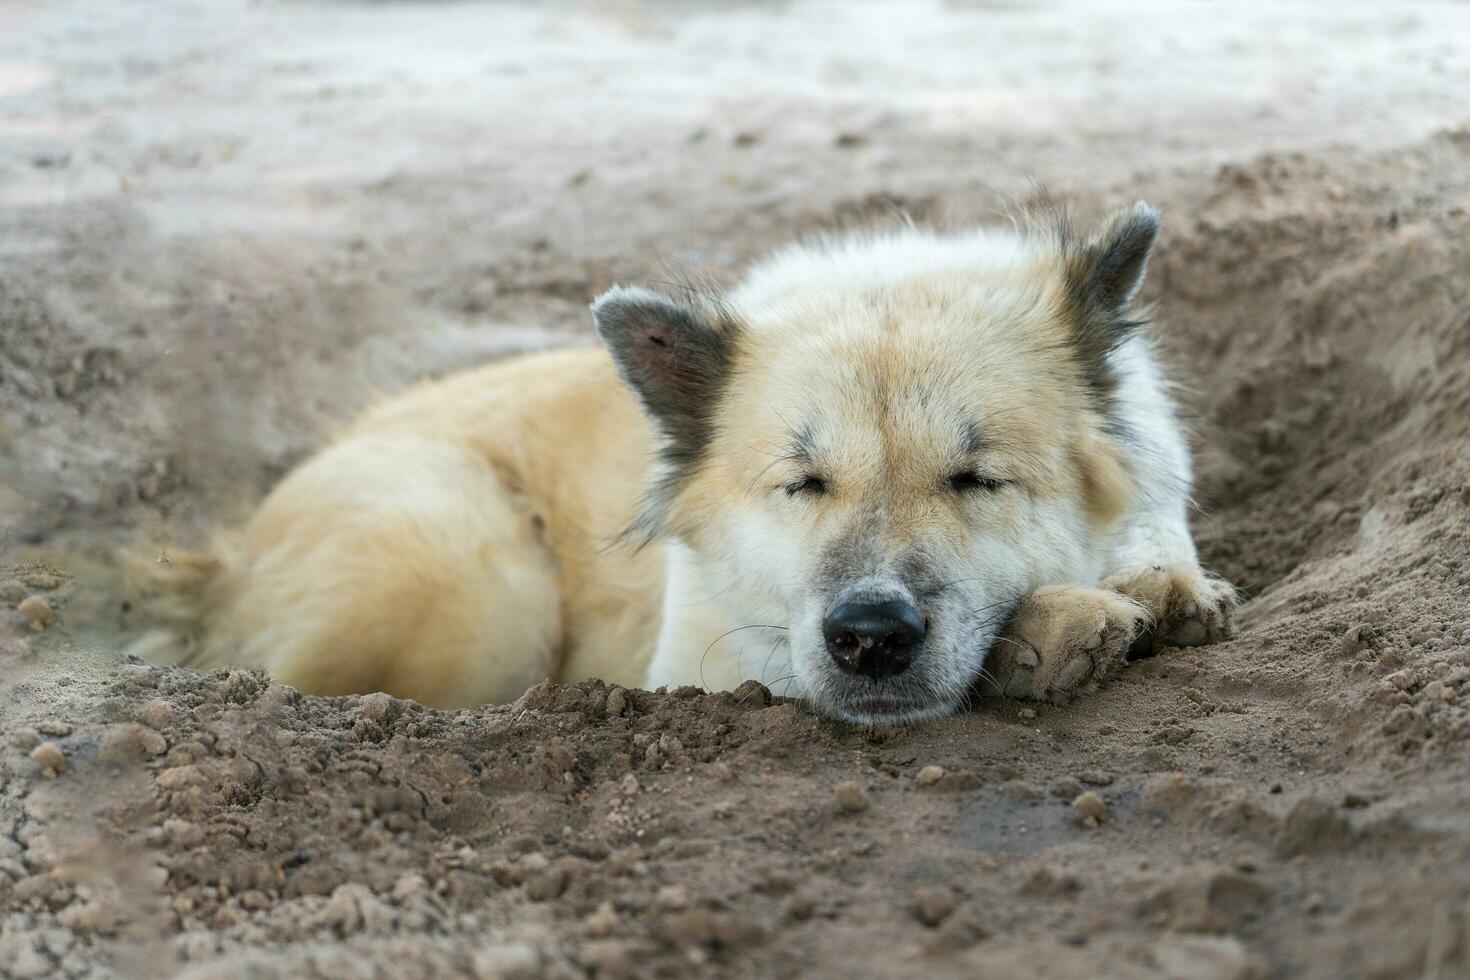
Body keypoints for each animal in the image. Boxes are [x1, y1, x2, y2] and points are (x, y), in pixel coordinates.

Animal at [126, 202, 1234, 725]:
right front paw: (1059, 626)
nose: (870, 637)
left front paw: (1150, 590)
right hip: (477, 589)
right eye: (803, 484)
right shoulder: (708, 667)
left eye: (976, 480)